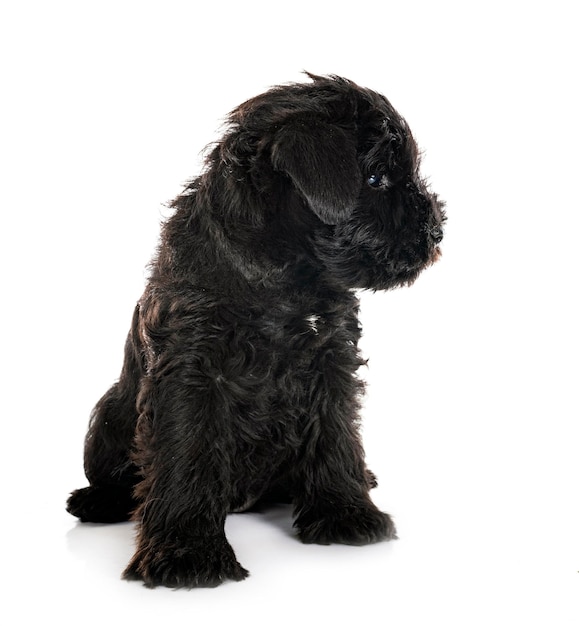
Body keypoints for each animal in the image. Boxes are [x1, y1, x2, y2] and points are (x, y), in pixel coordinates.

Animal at [69, 73, 448, 584]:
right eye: (375, 178)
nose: (437, 231)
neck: (281, 273)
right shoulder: (193, 372)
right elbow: (186, 453)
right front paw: (186, 551)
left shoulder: (331, 362)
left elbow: (336, 438)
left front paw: (347, 513)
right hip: (109, 411)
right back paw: (97, 500)